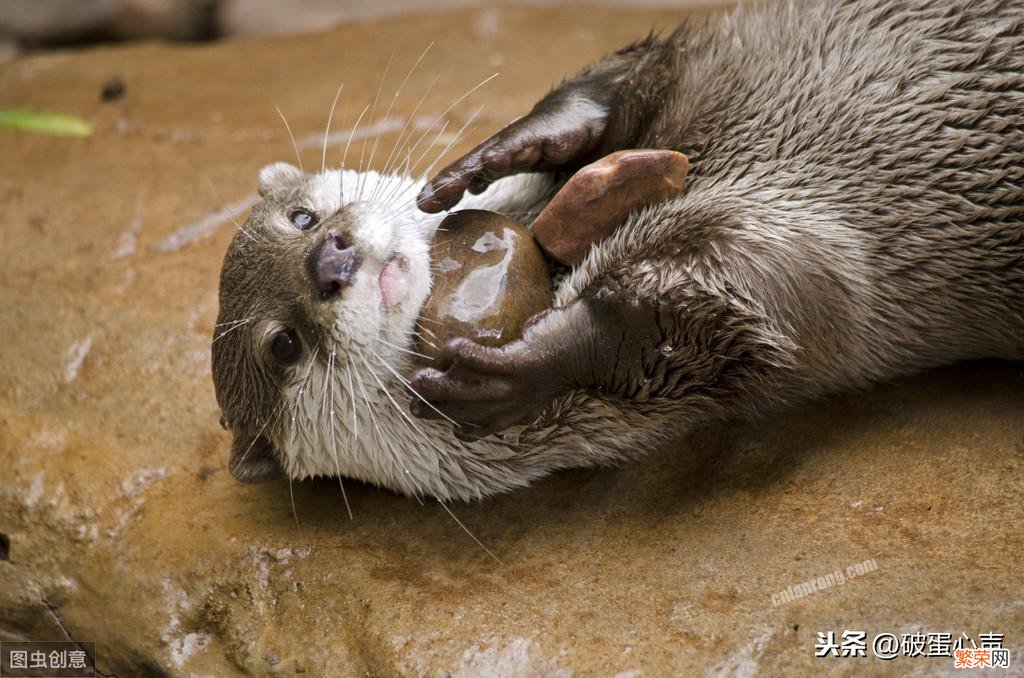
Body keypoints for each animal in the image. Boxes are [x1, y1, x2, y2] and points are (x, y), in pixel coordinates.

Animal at [209, 0, 1024, 499]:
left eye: (304, 217)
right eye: (282, 345)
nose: (332, 260)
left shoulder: (695, 70)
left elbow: (631, 78)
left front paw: (498, 154)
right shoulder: (777, 254)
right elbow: (733, 311)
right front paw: (527, 366)